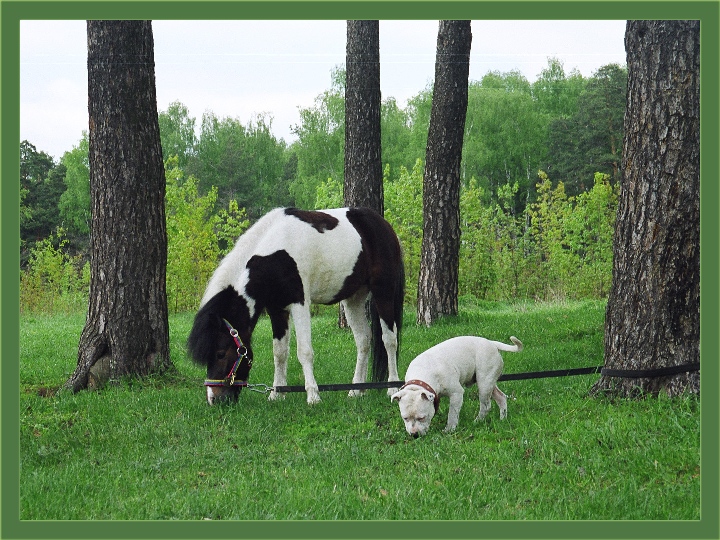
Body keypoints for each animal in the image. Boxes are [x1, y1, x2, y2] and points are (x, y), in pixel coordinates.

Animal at [188, 207, 404, 404]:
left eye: (220, 354)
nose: (214, 400)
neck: (276, 253)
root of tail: (384, 225)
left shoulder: (299, 304)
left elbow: (304, 351)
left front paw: (313, 396)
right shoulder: (277, 309)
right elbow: (280, 352)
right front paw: (277, 394)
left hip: (383, 291)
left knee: (389, 339)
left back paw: (392, 388)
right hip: (353, 299)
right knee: (363, 340)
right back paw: (356, 390)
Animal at [390, 336, 520, 436]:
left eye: (422, 418)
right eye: (405, 418)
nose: (414, 434)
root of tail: (491, 343)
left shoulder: (456, 393)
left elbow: (452, 413)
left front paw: (449, 429)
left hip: (484, 383)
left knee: (486, 405)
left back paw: (477, 421)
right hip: (489, 383)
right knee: (501, 397)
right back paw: (503, 419)